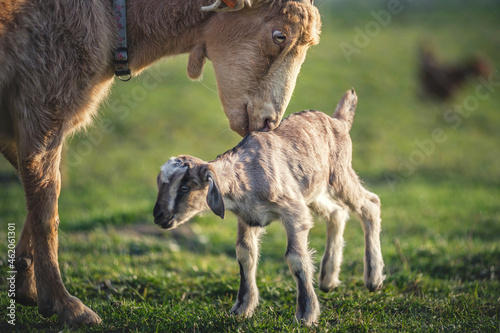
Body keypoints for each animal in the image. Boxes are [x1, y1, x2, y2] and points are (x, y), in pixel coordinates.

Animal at [0, 0, 320, 324]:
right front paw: (64, 305)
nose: (269, 123)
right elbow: (46, 207)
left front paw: (27, 286)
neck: (116, 18)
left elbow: (42, 190)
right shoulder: (44, 102)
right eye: (279, 36)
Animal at [154, 89, 384, 324]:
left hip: (339, 175)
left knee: (370, 204)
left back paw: (373, 278)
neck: (248, 176)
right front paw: (242, 308)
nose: (158, 216)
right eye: (159, 184)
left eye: (184, 187)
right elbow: (245, 254)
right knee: (338, 212)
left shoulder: (294, 212)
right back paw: (328, 278)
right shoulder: (247, 218)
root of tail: (339, 121)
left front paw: (306, 314)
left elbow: (295, 258)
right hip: (312, 190)